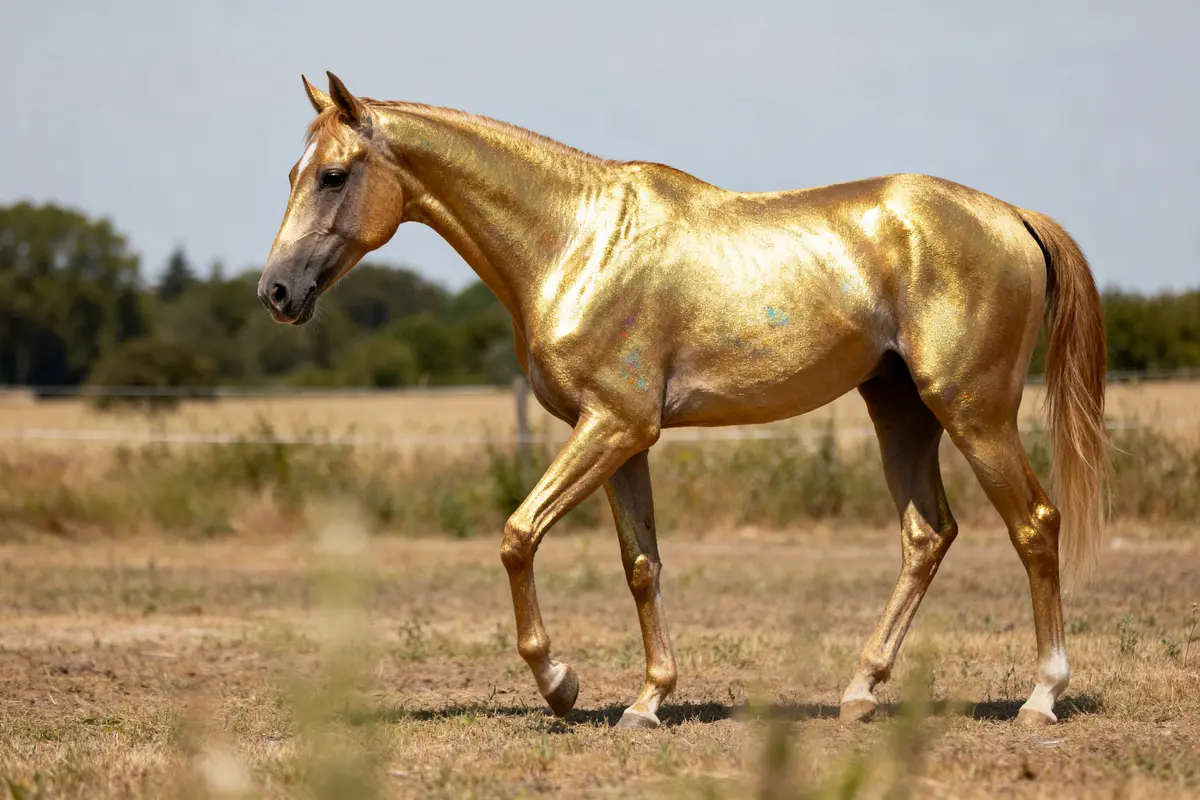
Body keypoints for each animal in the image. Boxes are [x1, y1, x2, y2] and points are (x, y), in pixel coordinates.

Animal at [258, 72, 1109, 730]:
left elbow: (518, 534)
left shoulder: (612, 426)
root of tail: (1014, 217)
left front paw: (560, 685)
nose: (276, 293)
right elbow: (641, 564)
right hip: (900, 412)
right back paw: (860, 691)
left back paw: (1041, 698)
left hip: (973, 411)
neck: (576, 242)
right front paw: (647, 701)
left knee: (1035, 525)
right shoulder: (620, 438)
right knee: (927, 536)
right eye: (291, 172)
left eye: (333, 175)